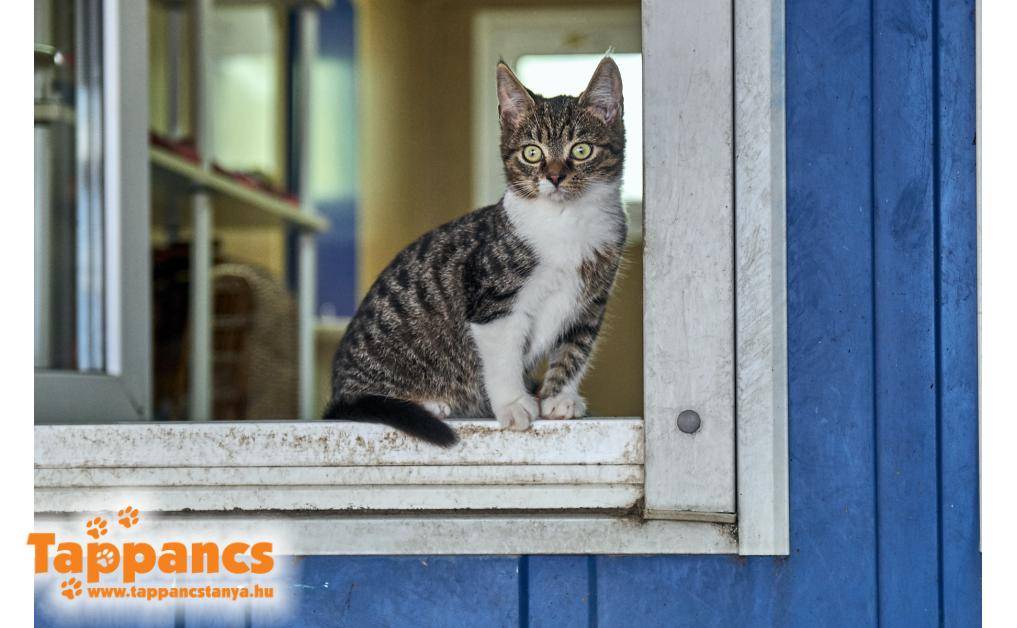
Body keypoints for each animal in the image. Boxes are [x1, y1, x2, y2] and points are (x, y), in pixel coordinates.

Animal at [322, 56, 627, 446]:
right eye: (532, 153)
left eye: (581, 149)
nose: (555, 177)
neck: (565, 221)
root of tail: (339, 394)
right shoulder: (492, 296)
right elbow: (502, 354)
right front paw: (513, 404)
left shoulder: (593, 298)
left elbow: (576, 346)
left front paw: (560, 397)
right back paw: (428, 402)